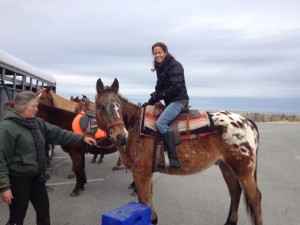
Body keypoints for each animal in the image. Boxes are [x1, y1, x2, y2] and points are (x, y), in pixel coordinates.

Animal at [94, 78, 262, 225]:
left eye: (119, 107)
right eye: (102, 106)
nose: (121, 136)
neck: (136, 127)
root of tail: (248, 122)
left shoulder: (141, 174)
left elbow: (144, 201)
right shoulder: (146, 174)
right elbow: (149, 201)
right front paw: (153, 219)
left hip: (243, 170)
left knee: (255, 198)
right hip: (226, 167)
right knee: (235, 192)